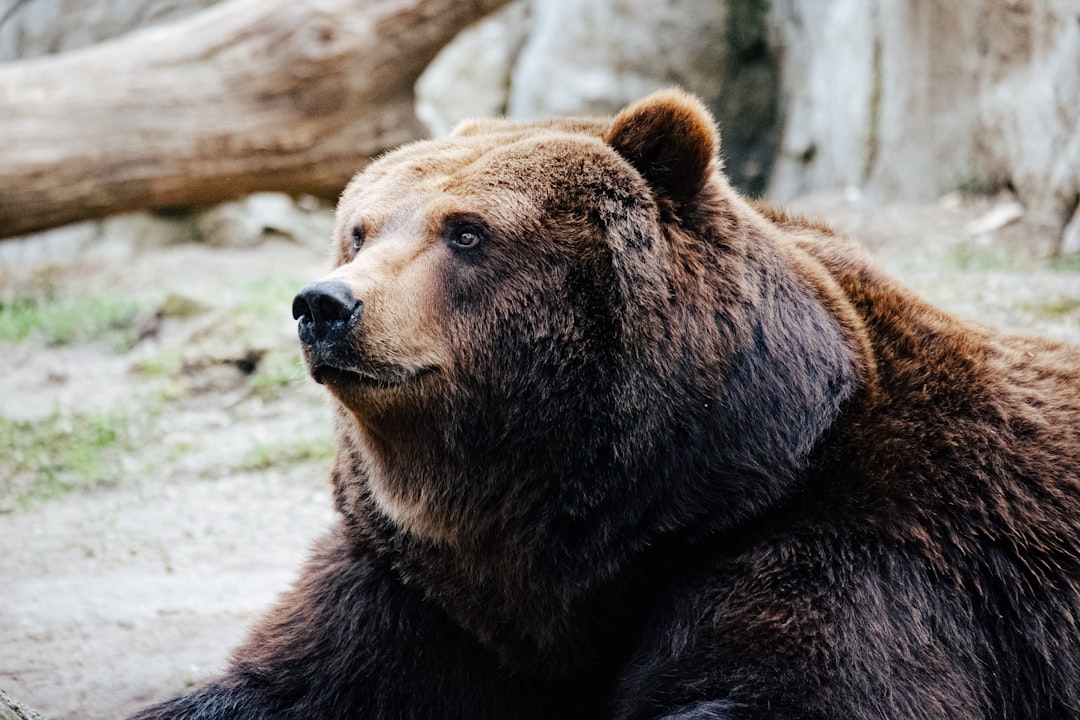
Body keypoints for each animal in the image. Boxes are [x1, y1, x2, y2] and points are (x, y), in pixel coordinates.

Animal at [129, 89, 1080, 720]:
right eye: (360, 229)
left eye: (465, 231)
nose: (324, 305)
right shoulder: (422, 588)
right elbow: (283, 684)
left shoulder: (851, 555)